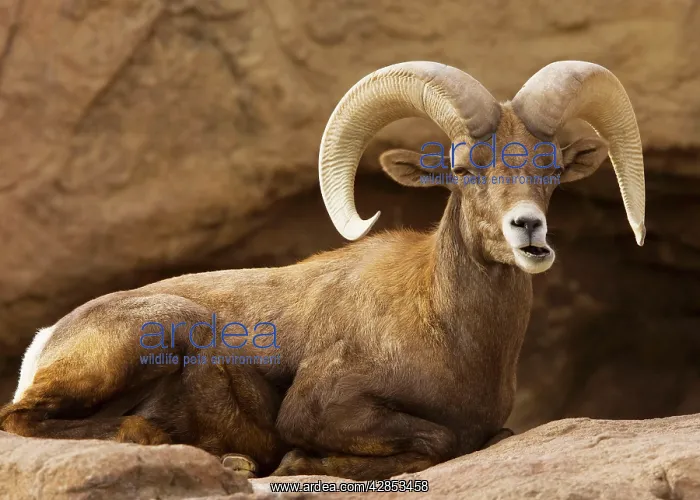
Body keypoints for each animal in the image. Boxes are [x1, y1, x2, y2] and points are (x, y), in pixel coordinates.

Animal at [0, 60, 645, 481]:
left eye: (552, 168)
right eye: (462, 168)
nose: (528, 230)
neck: (452, 335)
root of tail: (46, 340)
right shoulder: (326, 408)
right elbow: (436, 439)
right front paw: (294, 462)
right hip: (159, 330)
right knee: (24, 420)